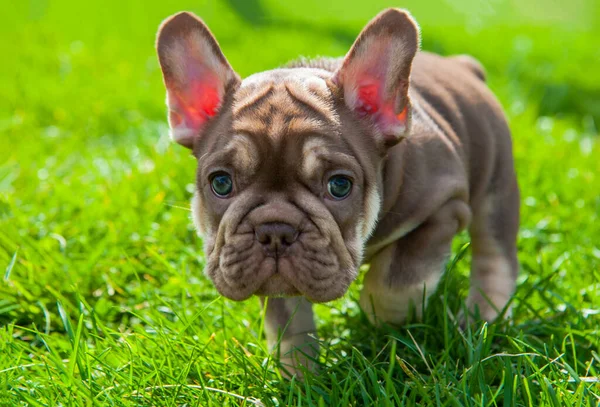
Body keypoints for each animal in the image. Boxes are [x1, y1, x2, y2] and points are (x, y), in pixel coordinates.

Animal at [156, 8, 520, 376]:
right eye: (221, 183)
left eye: (339, 185)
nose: (275, 230)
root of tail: (464, 66)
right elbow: (288, 323)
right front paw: (300, 375)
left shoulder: (443, 208)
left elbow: (394, 280)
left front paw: (386, 319)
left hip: (496, 188)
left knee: (495, 254)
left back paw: (480, 319)